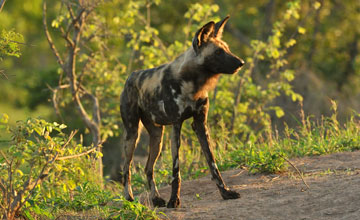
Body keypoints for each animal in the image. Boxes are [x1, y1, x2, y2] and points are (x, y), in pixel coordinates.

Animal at [121, 15, 245, 208]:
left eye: (227, 49)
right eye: (218, 52)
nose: (241, 63)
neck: (194, 84)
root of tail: (131, 76)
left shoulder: (200, 124)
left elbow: (213, 164)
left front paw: (225, 192)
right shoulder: (177, 125)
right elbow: (176, 171)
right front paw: (174, 200)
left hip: (157, 137)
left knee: (148, 168)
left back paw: (156, 199)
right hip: (132, 135)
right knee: (126, 168)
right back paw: (129, 199)